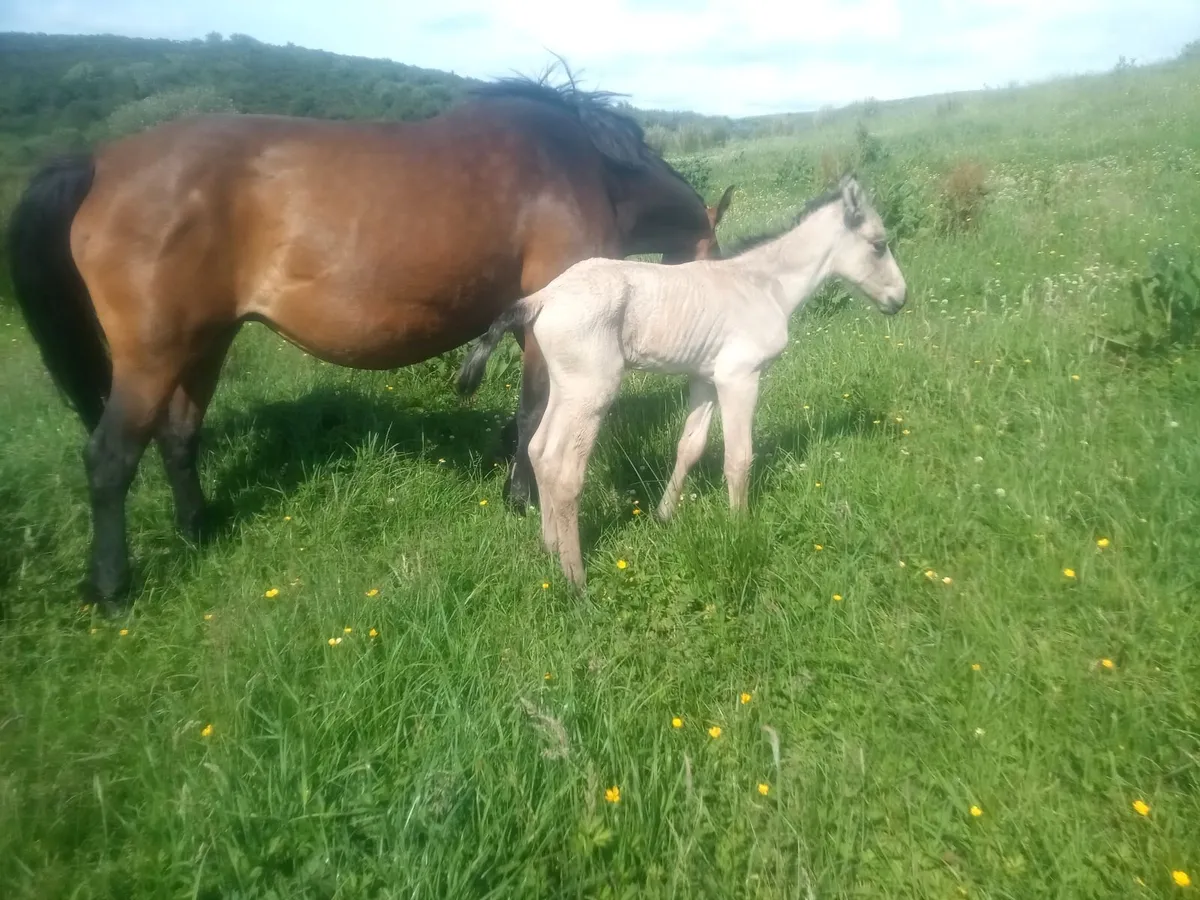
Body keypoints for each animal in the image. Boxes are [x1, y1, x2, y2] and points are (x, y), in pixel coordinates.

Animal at [6, 70, 734, 613]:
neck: (586, 166)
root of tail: (98, 163)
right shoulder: (544, 318)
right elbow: (532, 418)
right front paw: (520, 500)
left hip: (203, 343)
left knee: (180, 436)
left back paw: (198, 529)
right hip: (152, 356)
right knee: (109, 460)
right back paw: (111, 586)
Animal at [456, 175, 907, 589]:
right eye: (878, 244)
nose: (900, 299)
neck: (763, 286)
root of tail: (543, 298)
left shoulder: (705, 379)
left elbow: (690, 446)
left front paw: (664, 515)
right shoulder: (740, 377)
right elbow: (739, 457)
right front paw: (740, 528)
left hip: (564, 388)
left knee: (538, 450)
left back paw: (551, 547)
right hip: (591, 391)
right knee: (563, 468)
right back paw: (576, 579)